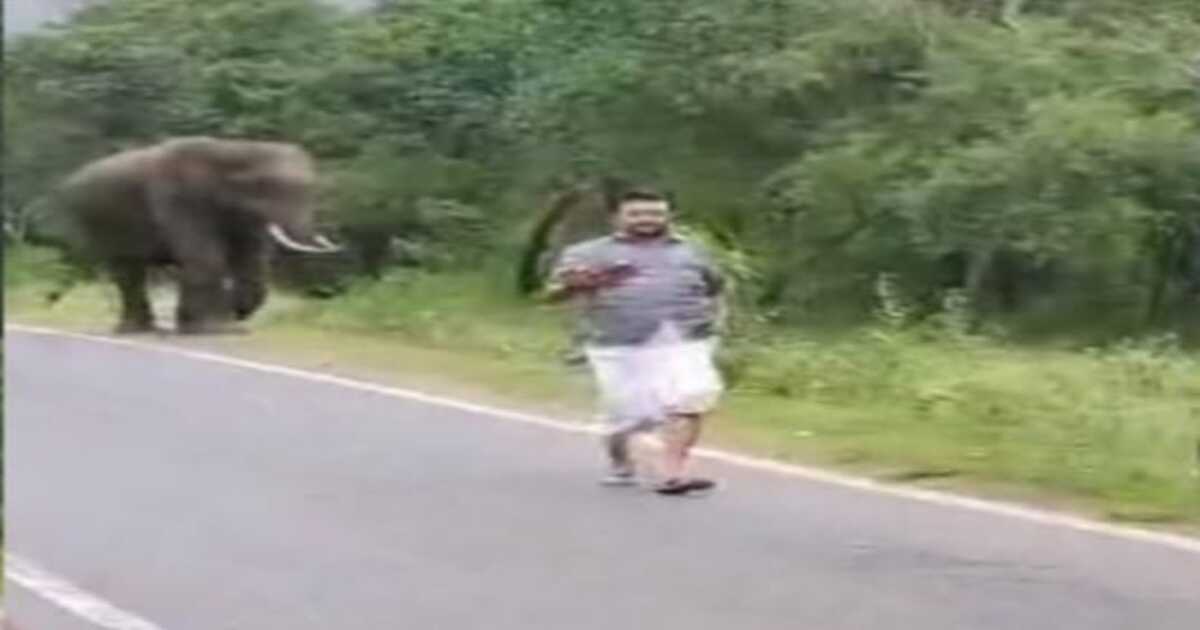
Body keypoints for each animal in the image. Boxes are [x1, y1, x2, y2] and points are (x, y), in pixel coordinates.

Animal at [49, 136, 340, 334]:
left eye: (311, 190)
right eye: (268, 188)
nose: (237, 315)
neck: (237, 149)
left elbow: (250, 262)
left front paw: (225, 325)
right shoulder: (180, 198)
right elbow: (205, 259)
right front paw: (213, 328)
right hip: (96, 221)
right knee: (127, 271)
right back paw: (136, 330)